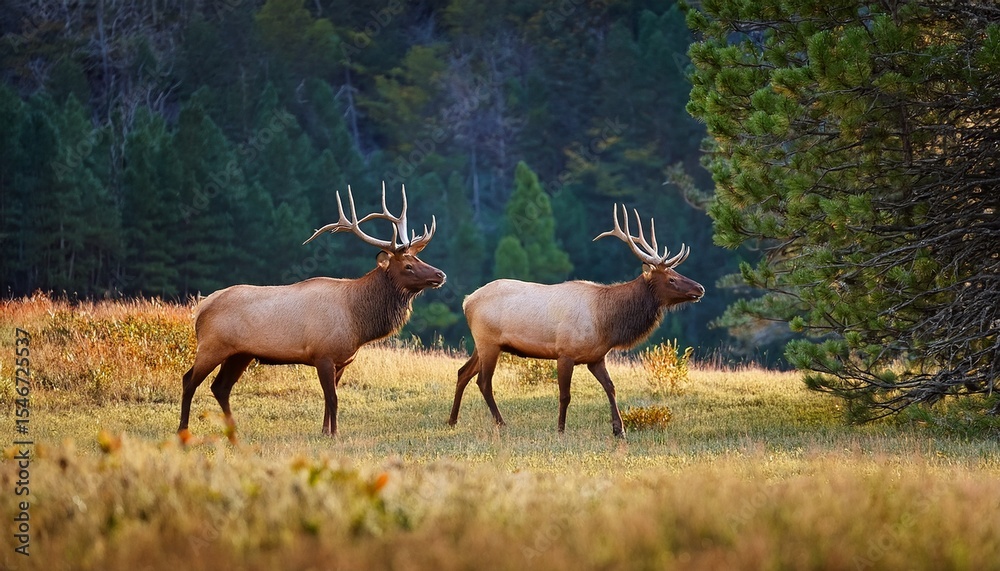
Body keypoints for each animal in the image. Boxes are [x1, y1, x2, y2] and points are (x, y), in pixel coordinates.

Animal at [177, 185, 445, 442]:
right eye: (408, 266)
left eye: (419, 259)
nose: (440, 274)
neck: (357, 321)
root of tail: (200, 309)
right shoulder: (322, 355)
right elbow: (333, 398)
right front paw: (335, 434)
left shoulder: (341, 361)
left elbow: (329, 398)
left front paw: (325, 431)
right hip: (212, 346)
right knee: (189, 380)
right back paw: (183, 430)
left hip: (239, 354)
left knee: (220, 387)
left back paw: (233, 431)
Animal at [447, 203, 704, 438]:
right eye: (671, 279)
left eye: (676, 274)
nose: (700, 288)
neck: (606, 322)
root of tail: (467, 302)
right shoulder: (565, 353)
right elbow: (565, 394)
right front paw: (561, 429)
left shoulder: (596, 357)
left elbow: (611, 388)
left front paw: (619, 430)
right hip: (488, 342)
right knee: (483, 381)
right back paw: (501, 423)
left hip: (482, 344)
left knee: (463, 372)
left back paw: (452, 420)